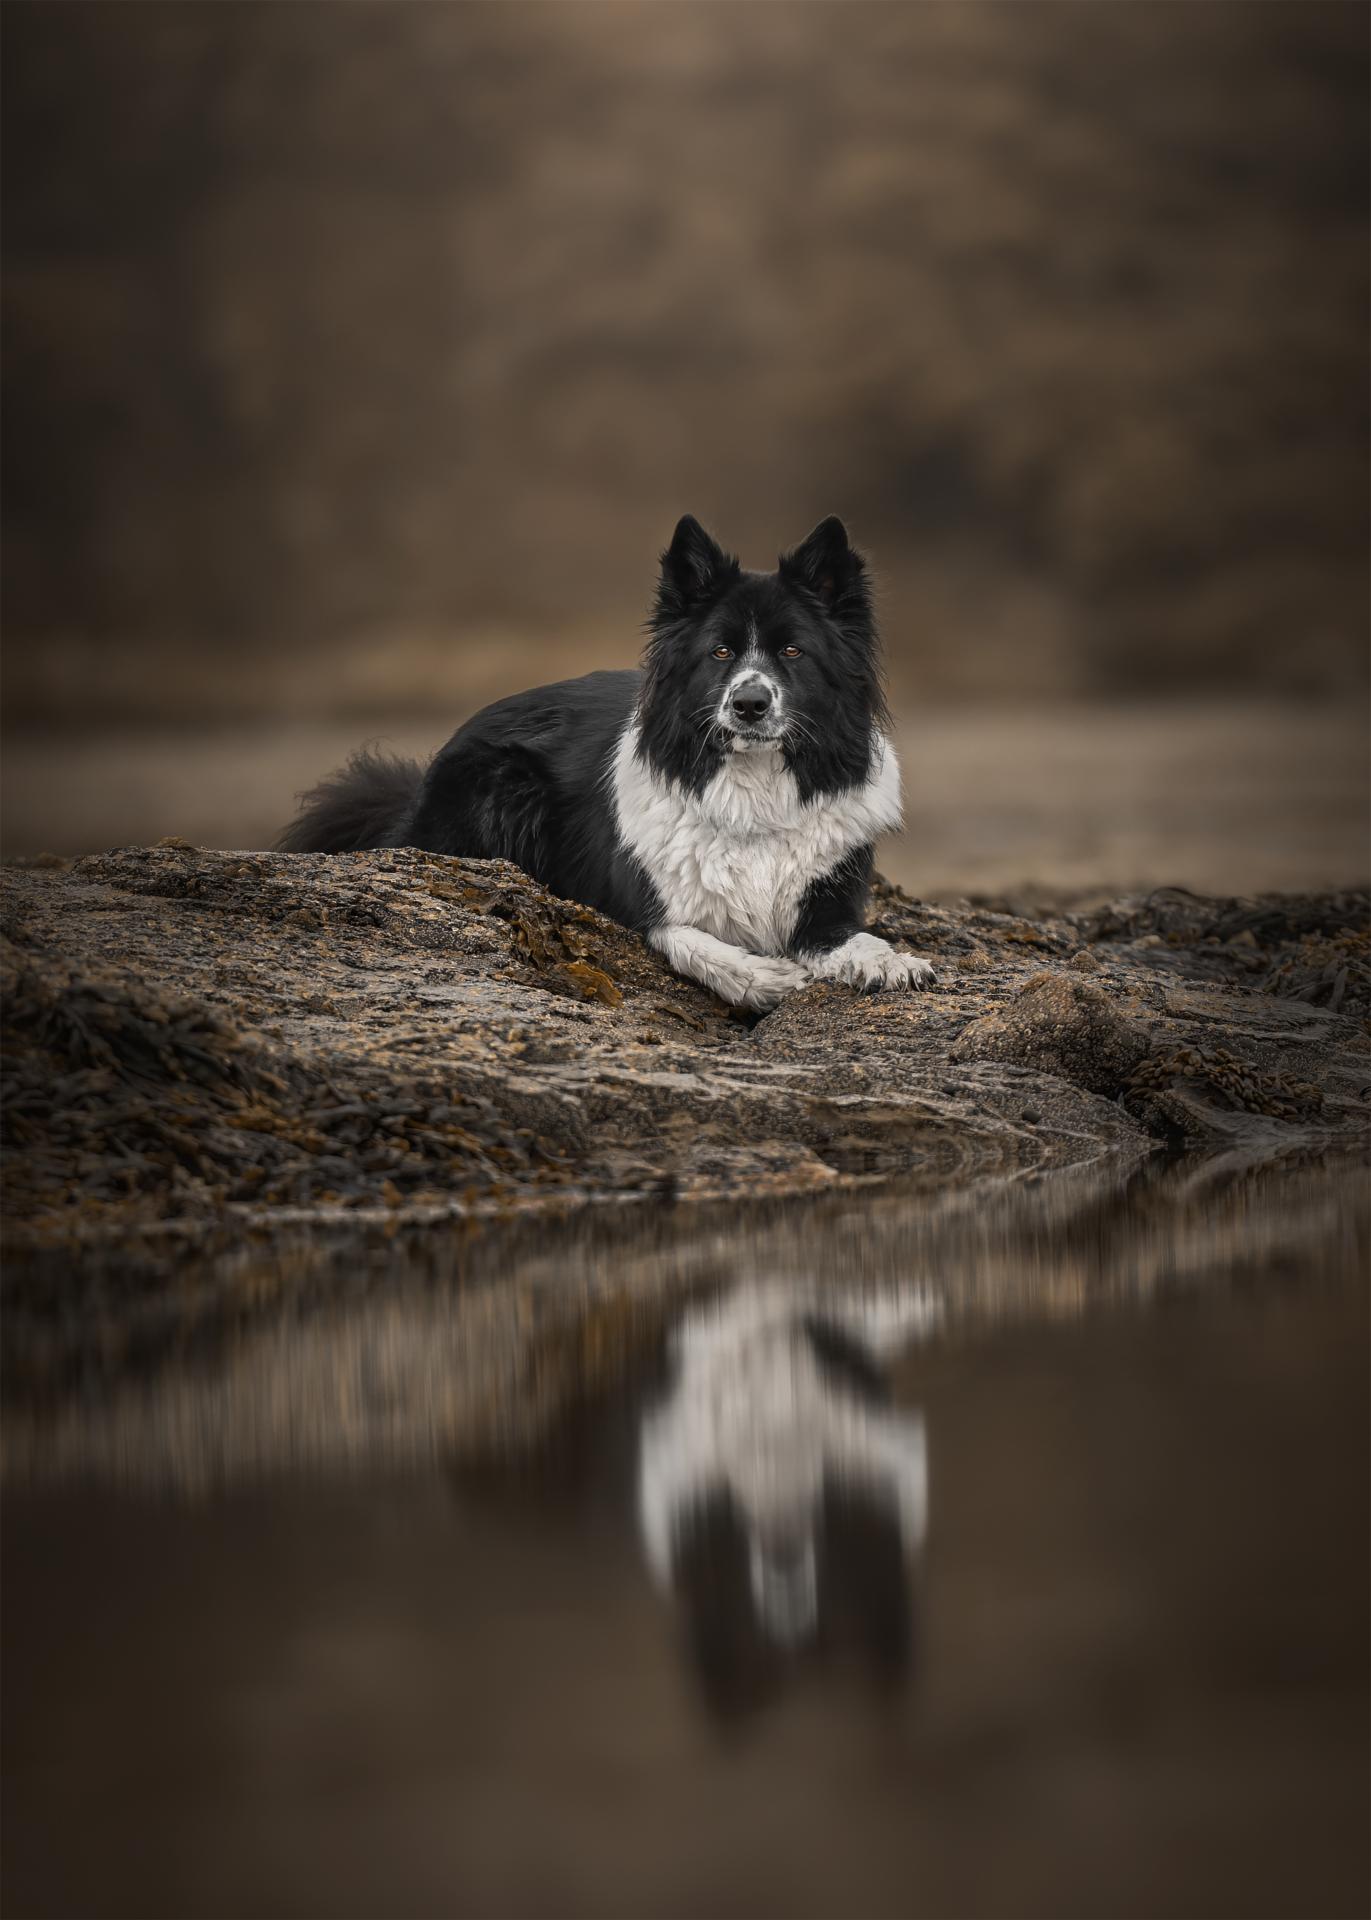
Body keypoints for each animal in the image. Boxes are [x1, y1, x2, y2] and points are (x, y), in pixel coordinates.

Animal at [282, 518, 933, 1013]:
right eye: (720, 652)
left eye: (793, 651)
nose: (749, 704)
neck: (753, 793)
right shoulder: (640, 906)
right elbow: (690, 941)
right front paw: (767, 978)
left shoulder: (826, 904)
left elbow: (857, 939)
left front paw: (893, 962)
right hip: (504, 783)